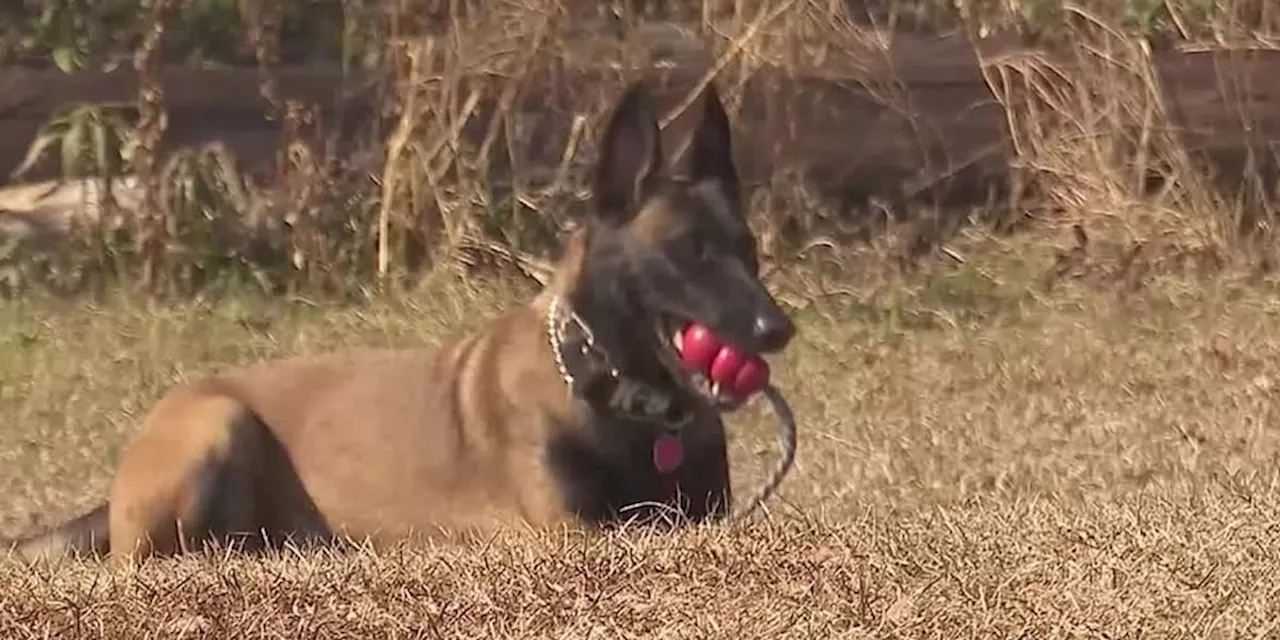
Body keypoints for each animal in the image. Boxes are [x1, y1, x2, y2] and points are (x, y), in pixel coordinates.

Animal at [5, 77, 793, 563]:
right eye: (687, 252)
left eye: (748, 251)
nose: (777, 331)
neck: (617, 399)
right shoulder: (572, 532)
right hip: (217, 425)